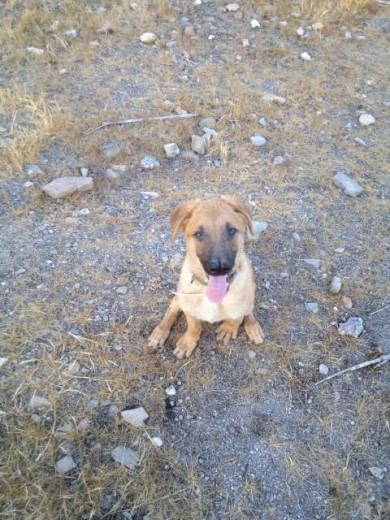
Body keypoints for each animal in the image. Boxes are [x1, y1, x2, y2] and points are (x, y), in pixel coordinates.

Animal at [147, 195, 266, 358]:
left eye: (231, 230)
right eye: (198, 234)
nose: (219, 268)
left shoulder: (239, 307)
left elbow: (236, 319)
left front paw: (228, 328)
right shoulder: (189, 308)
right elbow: (193, 326)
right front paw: (188, 342)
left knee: (249, 311)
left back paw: (252, 325)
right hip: (180, 296)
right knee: (171, 309)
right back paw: (159, 332)